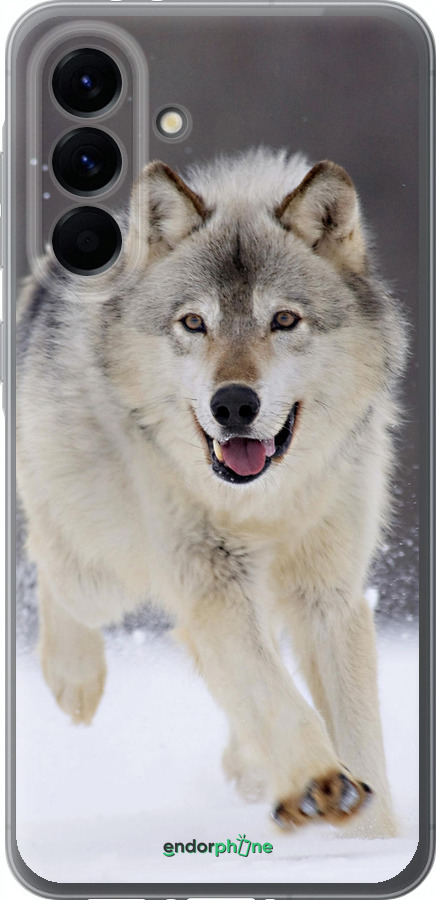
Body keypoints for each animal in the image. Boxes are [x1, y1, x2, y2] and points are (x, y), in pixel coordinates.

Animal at [17, 148, 407, 837]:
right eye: (194, 323)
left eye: (284, 320)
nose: (233, 405)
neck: (265, 503)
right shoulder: (212, 582)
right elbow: (274, 695)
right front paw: (319, 783)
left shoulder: (328, 594)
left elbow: (357, 732)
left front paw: (373, 837)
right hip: (104, 572)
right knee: (49, 561)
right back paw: (74, 680)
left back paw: (249, 766)